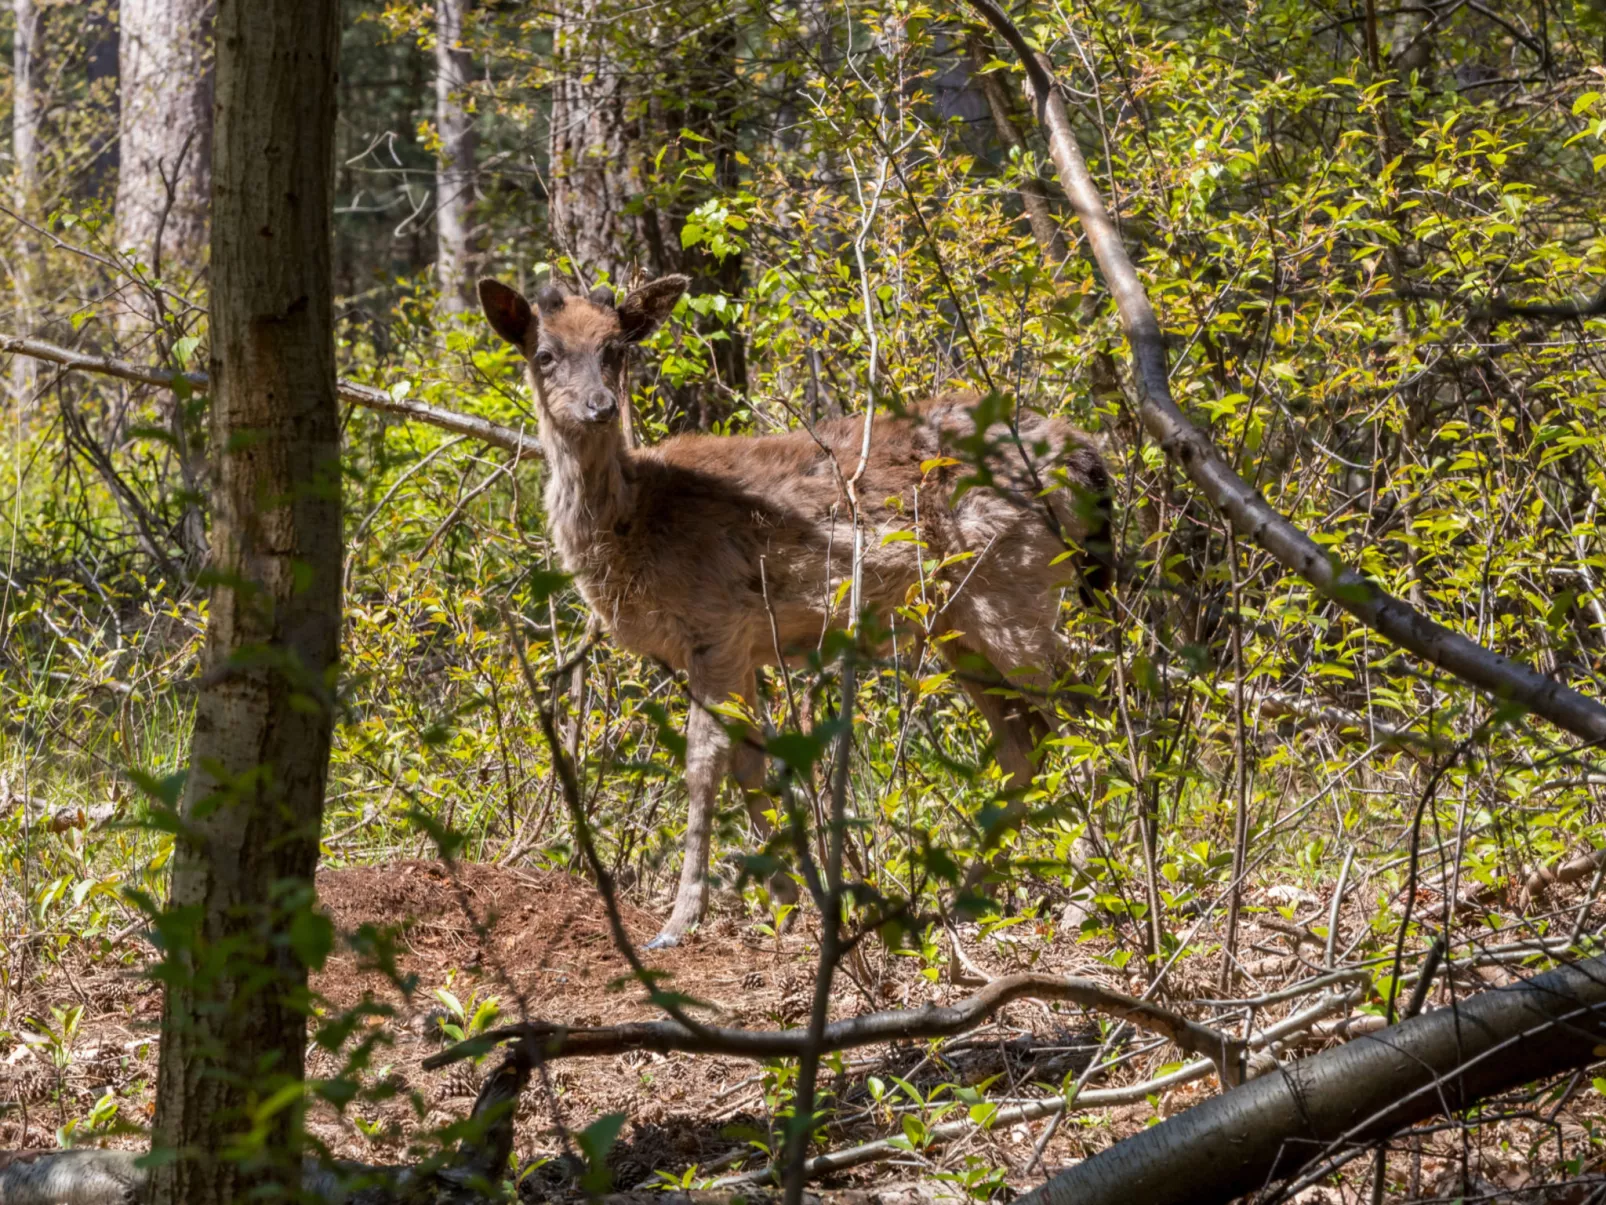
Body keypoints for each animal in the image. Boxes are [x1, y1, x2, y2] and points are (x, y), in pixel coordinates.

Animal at [475, 276, 1104, 951]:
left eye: (615, 349)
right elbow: (754, 767)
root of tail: (1087, 456)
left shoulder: (716, 624)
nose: (600, 405)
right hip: (959, 623)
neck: (638, 523)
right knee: (1024, 747)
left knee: (1082, 715)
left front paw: (680, 919)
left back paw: (1085, 900)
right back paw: (965, 900)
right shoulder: (741, 646)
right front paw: (787, 904)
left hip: (1015, 585)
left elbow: (703, 767)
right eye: (544, 355)